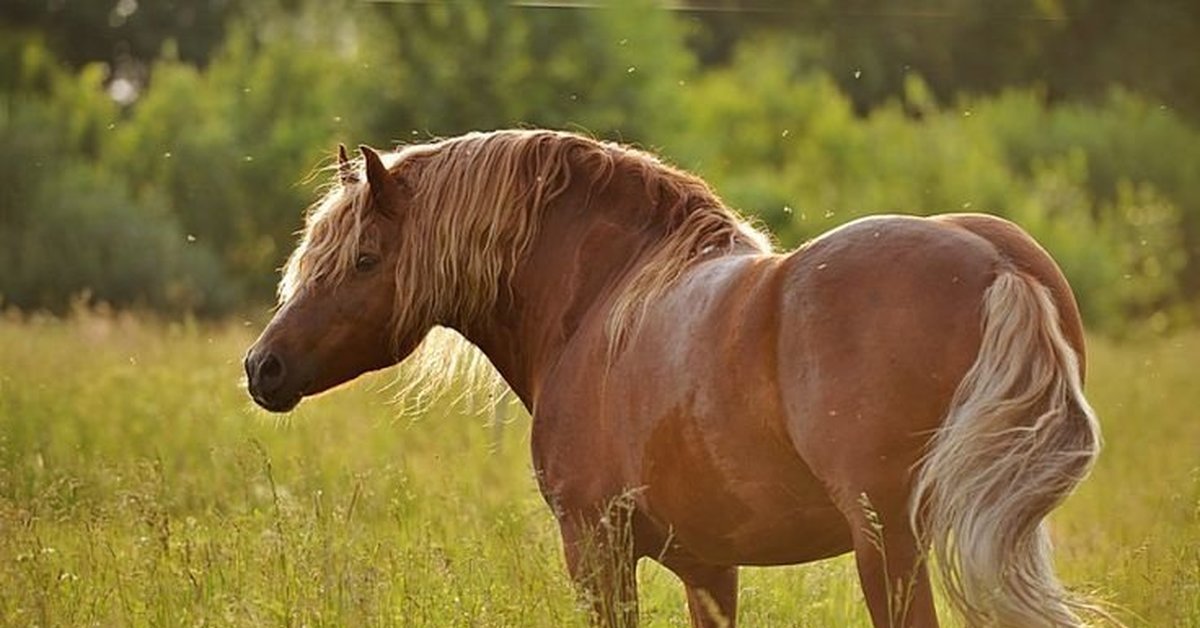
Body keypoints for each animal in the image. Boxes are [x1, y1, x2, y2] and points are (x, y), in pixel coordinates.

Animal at [243, 130, 1104, 624]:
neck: (602, 298)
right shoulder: (710, 567)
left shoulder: (595, 545)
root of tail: (993, 265)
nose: (262, 366)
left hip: (888, 545)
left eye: (363, 259)